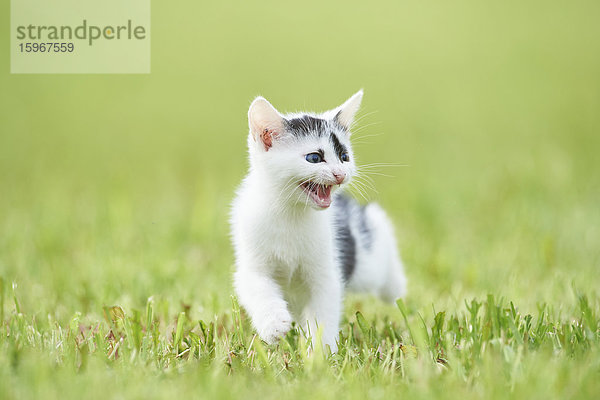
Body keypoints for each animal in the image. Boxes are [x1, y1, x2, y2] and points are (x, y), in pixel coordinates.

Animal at [231, 90, 408, 350]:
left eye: (344, 156)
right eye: (314, 158)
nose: (340, 174)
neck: (291, 213)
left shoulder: (326, 272)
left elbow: (323, 311)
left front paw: (321, 352)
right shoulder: (251, 263)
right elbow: (257, 287)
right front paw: (274, 325)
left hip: (368, 263)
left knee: (379, 230)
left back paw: (397, 290)